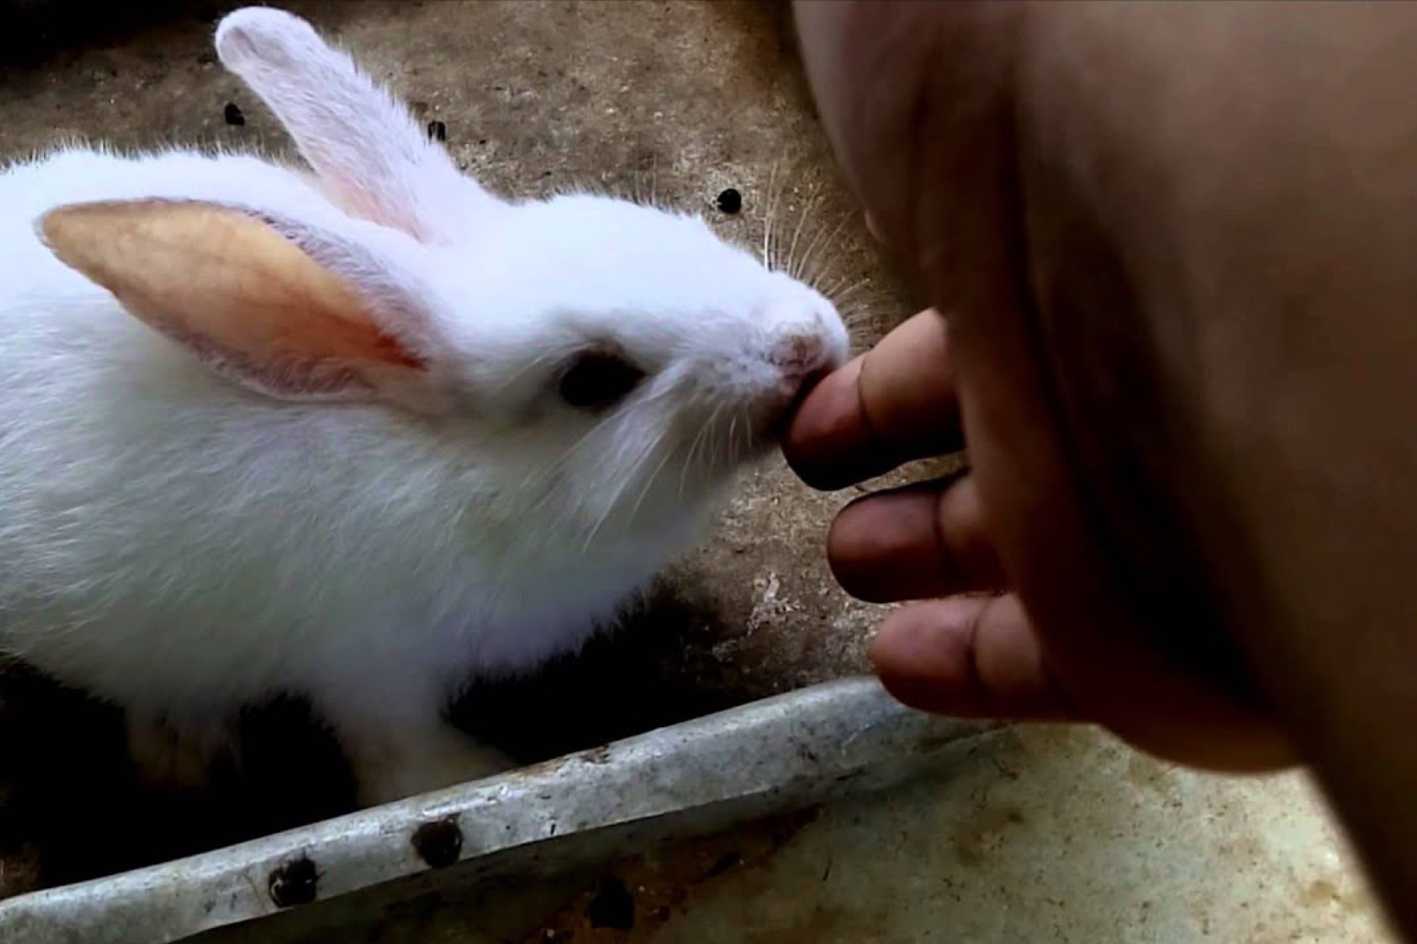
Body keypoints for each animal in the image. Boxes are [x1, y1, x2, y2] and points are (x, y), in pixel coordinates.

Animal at [0, 6, 849, 806]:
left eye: (685, 226)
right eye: (592, 382)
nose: (806, 342)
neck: (475, 476)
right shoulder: (369, 662)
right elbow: (393, 754)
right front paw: (473, 772)